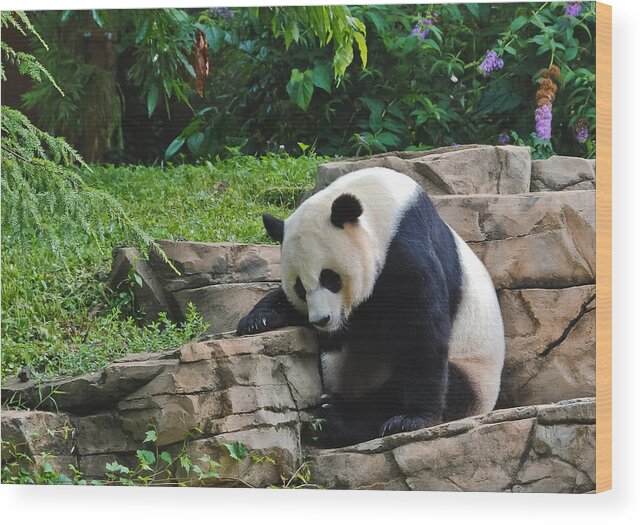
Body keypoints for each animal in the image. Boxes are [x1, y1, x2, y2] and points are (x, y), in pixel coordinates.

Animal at [236, 167, 508, 446]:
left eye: (330, 278)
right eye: (300, 287)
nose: (322, 320)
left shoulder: (407, 250)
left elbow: (420, 336)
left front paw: (411, 418)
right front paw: (258, 319)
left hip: (475, 371)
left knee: (435, 387)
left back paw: (338, 416)